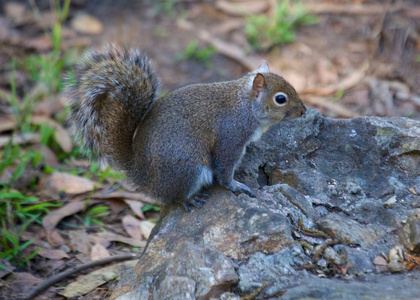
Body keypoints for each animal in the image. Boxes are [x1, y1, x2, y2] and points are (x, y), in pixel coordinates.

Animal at [68, 45, 306, 212]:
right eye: (280, 99)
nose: (303, 111)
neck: (245, 105)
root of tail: (143, 176)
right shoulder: (230, 136)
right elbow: (224, 169)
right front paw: (236, 186)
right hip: (188, 168)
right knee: (175, 198)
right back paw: (191, 199)